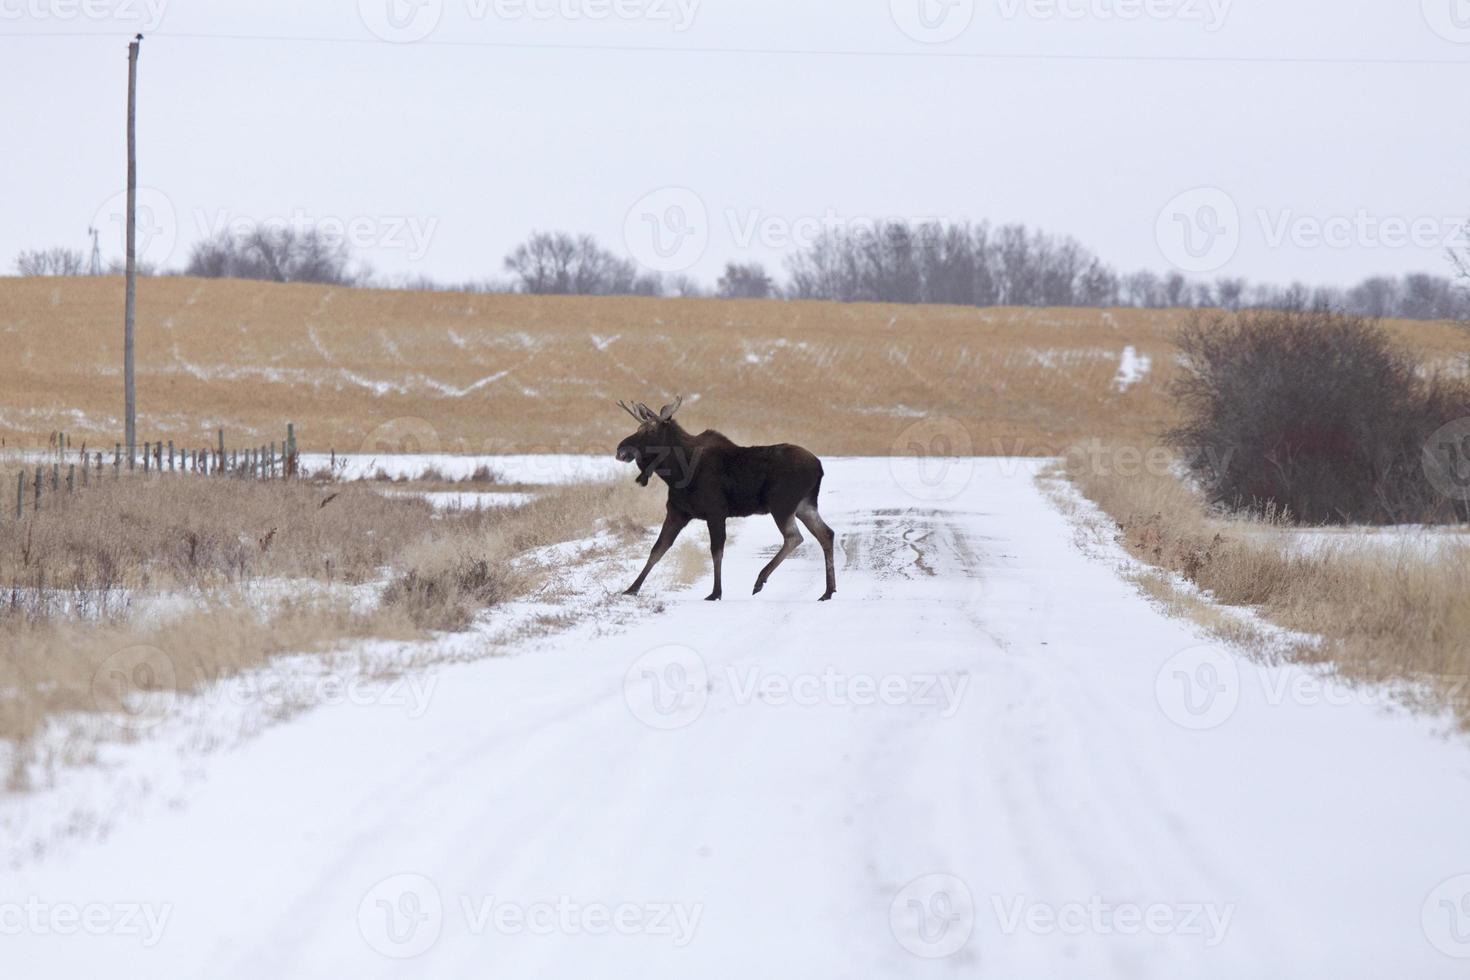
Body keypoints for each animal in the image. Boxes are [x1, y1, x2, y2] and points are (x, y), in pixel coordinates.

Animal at [611, 396, 840, 599]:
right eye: (638, 429)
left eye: (649, 430)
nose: (620, 450)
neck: (677, 473)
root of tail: (819, 467)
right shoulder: (678, 512)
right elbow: (657, 549)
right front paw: (631, 589)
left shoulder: (715, 512)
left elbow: (716, 551)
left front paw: (715, 592)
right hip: (804, 505)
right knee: (826, 534)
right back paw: (828, 591)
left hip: (782, 504)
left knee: (794, 537)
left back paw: (760, 580)